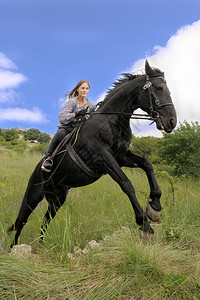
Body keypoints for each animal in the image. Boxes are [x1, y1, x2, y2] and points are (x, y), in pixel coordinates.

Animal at [7, 60, 177, 246]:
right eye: (159, 88)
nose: (172, 122)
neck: (111, 121)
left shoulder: (121, 156)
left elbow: (147, 165)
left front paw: (155, 207)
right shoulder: (103, 157)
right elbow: (126, 184)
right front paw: (144, 223)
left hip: (57, 199)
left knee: (45, 221)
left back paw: (42, 245)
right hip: (33, 196)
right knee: (21, 221)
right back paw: (14, 247)